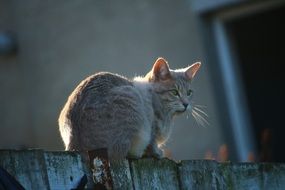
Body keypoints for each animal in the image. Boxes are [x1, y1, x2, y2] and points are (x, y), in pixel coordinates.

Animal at [57, 57, 200, 160]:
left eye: (189, 93)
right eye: (174, 92)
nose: (186, 104)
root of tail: (73, 143)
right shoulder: (151, 127)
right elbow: (152, 142)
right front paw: (157, 153)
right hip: (131, 97)